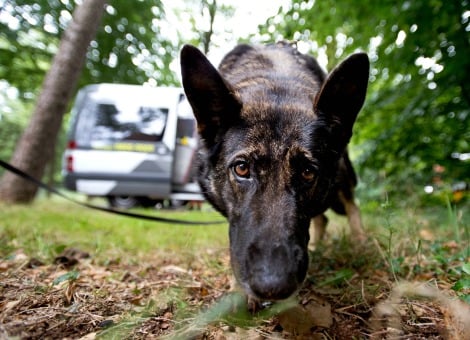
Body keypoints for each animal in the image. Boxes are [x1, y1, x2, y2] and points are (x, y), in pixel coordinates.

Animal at [180, 41, 368, 300]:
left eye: (308, 172)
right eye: (242, 168)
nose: (273, 287)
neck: (275, 81)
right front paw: (238, 291)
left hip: (342, 174)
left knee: (351, 206)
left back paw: (360, 243)